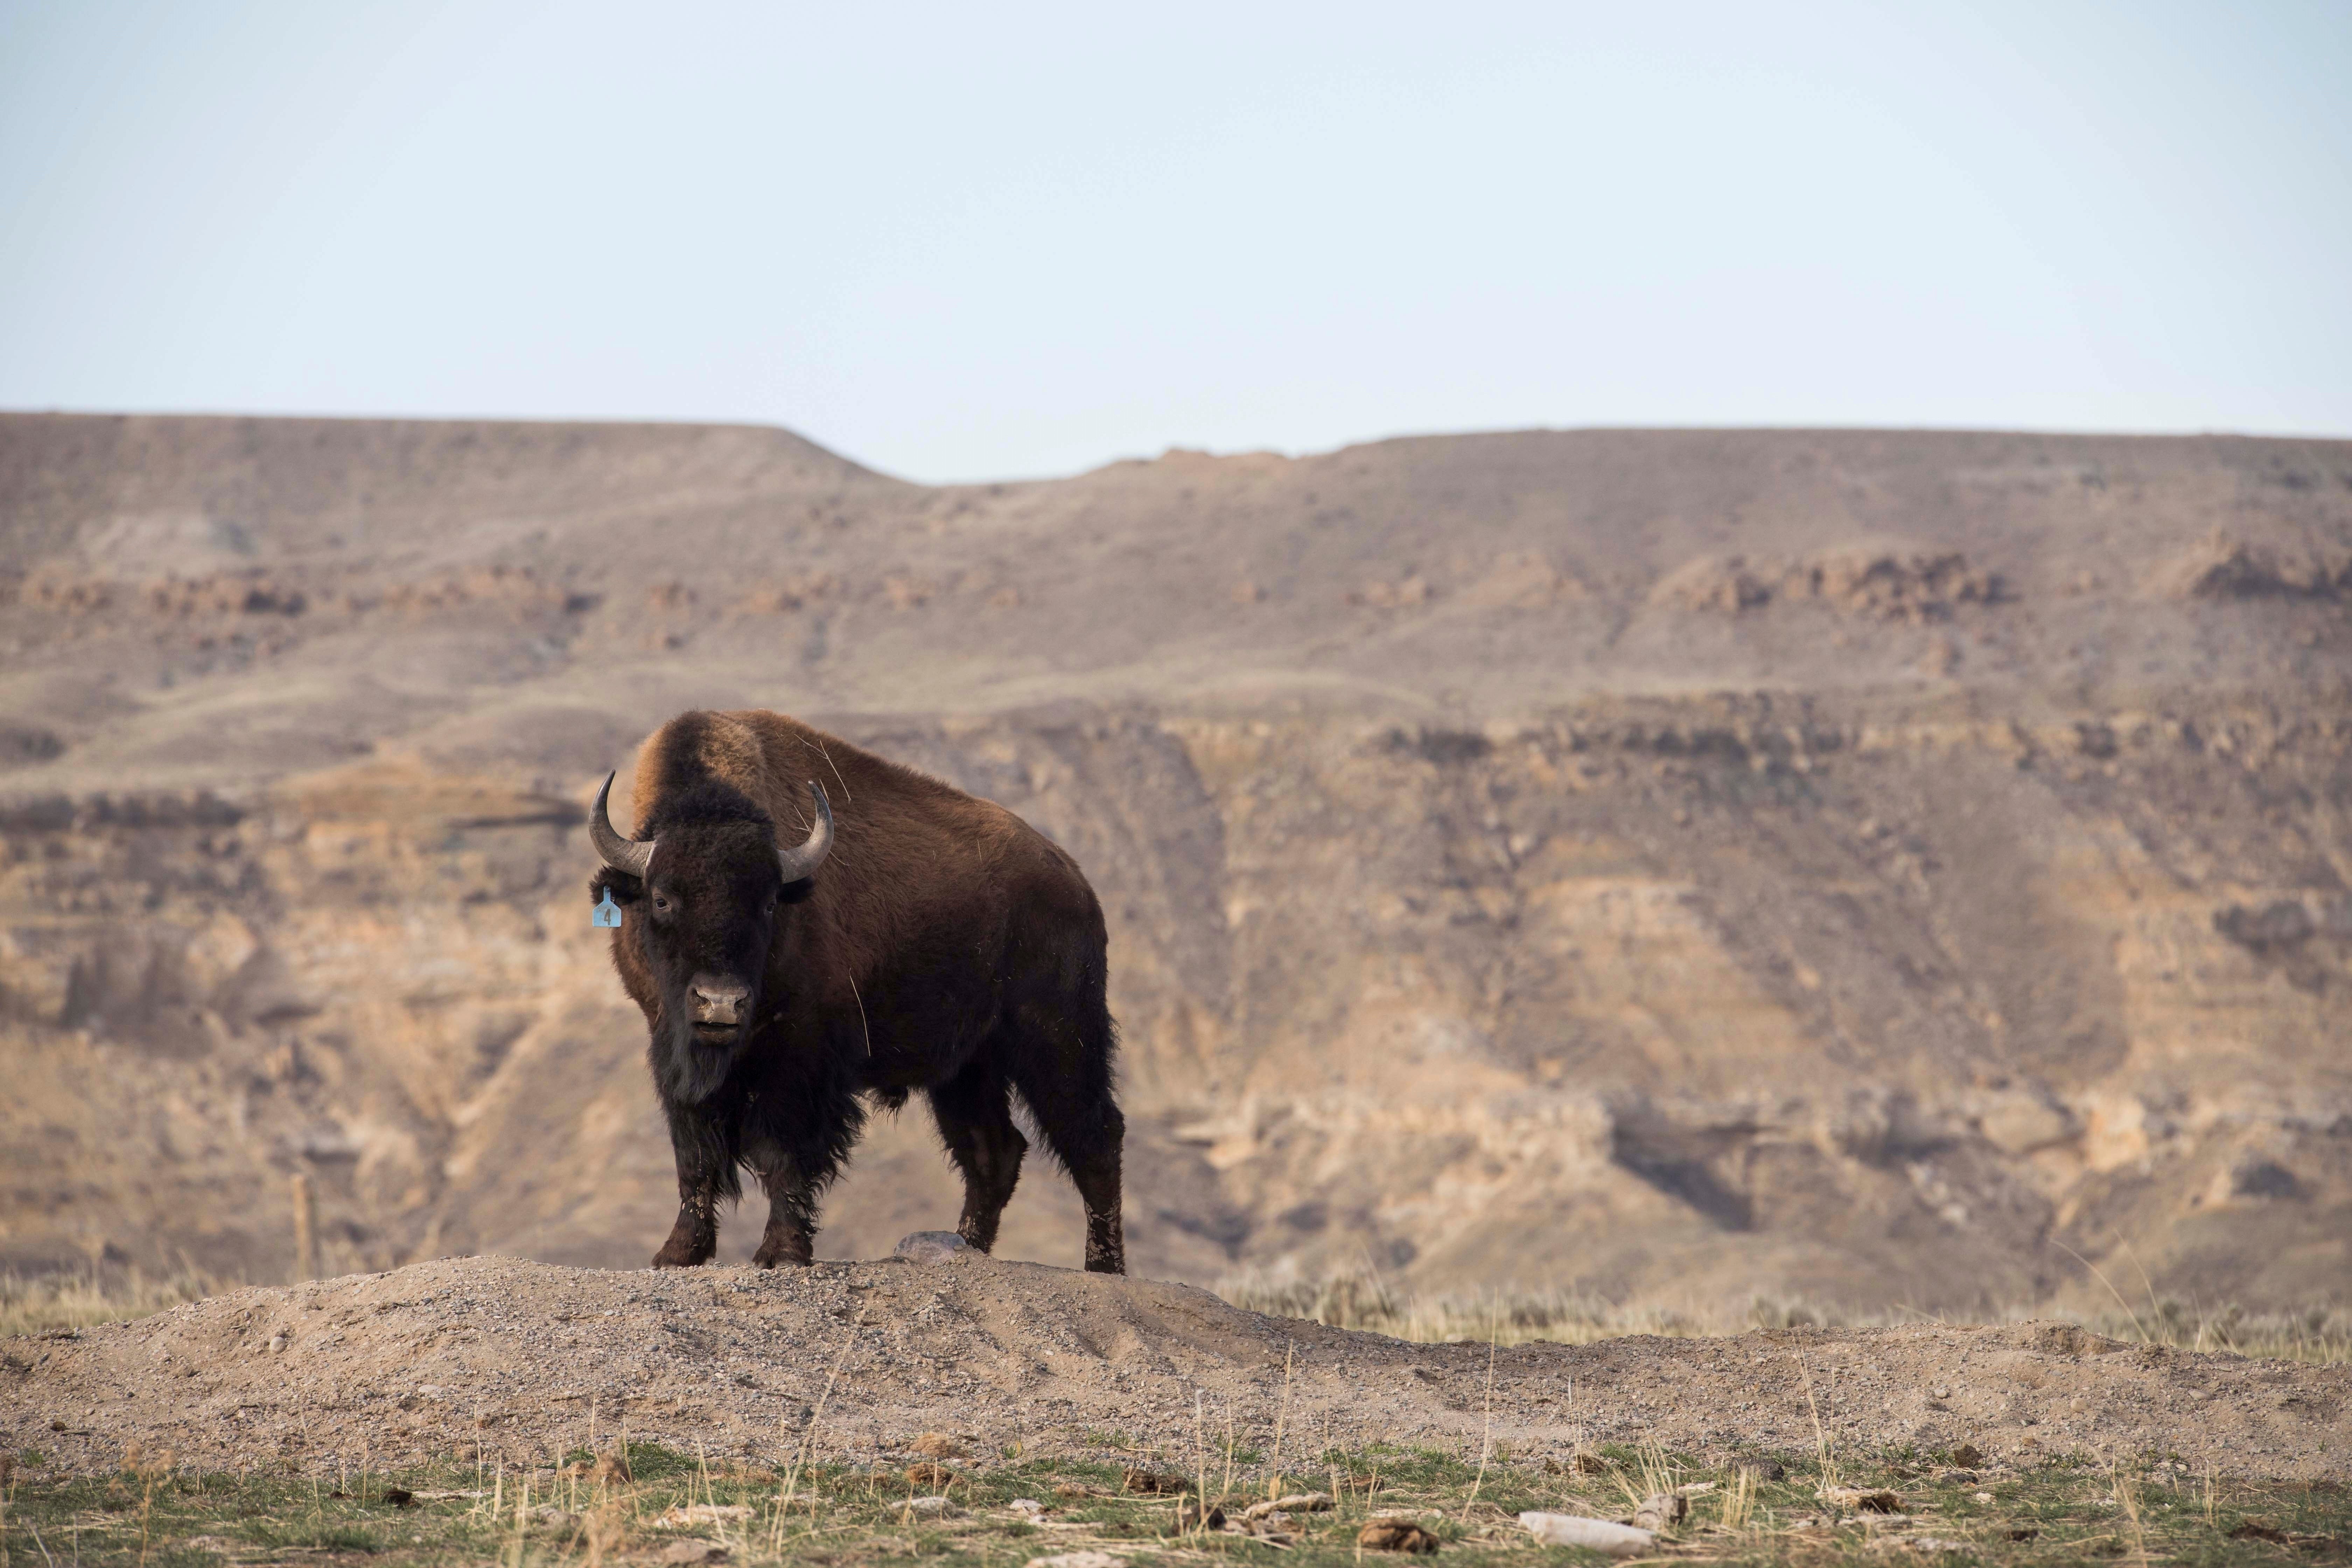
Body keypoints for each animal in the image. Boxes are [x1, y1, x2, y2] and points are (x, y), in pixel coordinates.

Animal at [588, 708, 1125, 1273]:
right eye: (663, 899)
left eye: (768, 903)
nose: (721, 1002)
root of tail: (1076, 884)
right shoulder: (671, 1046)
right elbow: (694, 1158)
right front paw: (678, 1253)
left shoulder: (799, 1059)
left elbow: (783, 1154)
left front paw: (782, 1252)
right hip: (967, 1068)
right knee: (994, 1152)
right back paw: (966, 1247)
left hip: (1058, 1039)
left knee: (1095, 1140)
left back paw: (1104, 1267)